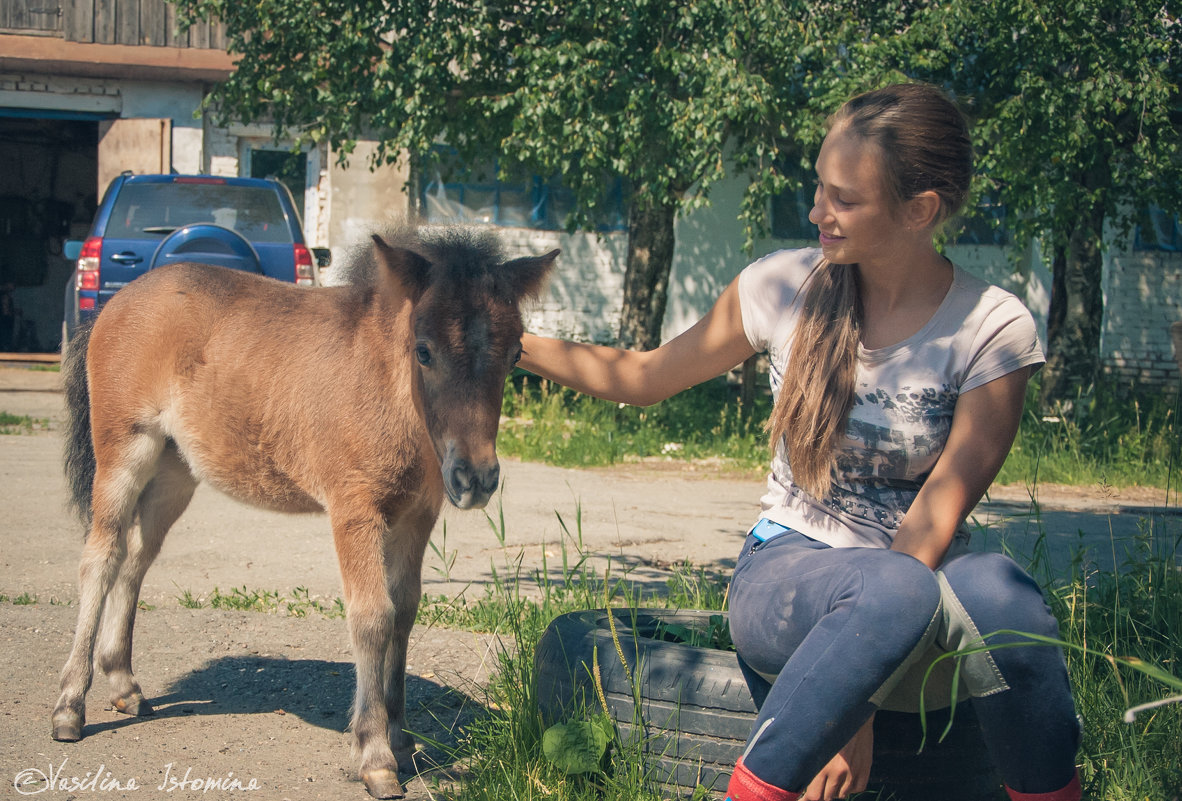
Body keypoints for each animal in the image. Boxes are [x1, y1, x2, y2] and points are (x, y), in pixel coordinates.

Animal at [50, 223, 557, 798]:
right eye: (423, 351)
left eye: (515, 354)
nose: (476, 478)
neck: (390, 393)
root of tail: (112, 305)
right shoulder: (354, 511)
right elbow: (373, 617)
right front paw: (375, 754)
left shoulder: (415, 517)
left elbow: (404, 612)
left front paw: (402, 739)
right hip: (124, 451)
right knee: (101, 558)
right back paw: (70, 708)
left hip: (174, 473)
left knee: (136, 558)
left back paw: (125, 685)